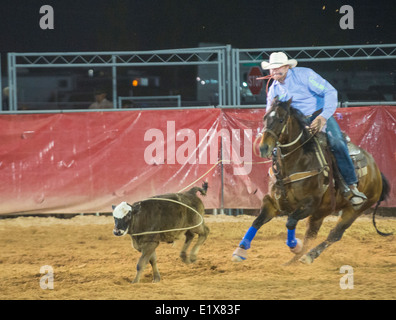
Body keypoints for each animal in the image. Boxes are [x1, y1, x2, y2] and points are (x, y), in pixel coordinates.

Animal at [232, 97, 390, 264]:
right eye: (265, 118)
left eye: (281, 120)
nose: (263, 148)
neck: (296, 162)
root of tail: (377, 171)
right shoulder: (273, 203)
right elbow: (257, 221)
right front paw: (240, 250)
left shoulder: (309, 204)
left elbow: (290, 221)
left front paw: (295, 245)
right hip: (321, 212)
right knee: (311, 234)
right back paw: (293, 261)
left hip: (355, 209)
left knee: (335, 234)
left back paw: (309, 255)